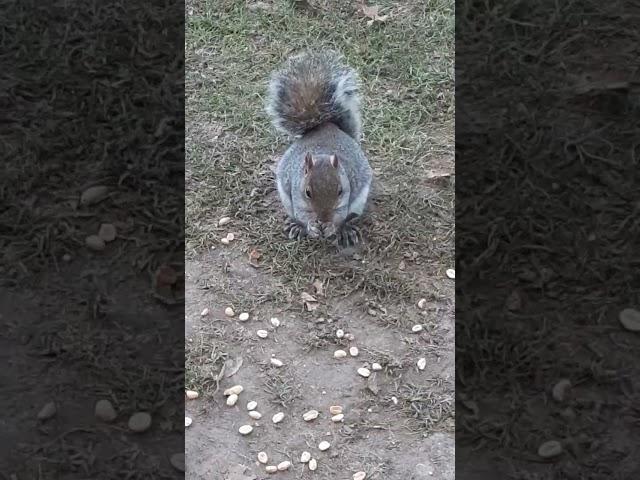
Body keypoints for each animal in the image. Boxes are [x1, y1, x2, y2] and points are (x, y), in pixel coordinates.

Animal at [266, 50, 376, 248]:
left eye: (340, 191)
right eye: (307, 192)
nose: (324, 218)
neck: (322, 156)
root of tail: (325, 126)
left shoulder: (345, 198)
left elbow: (340, 215)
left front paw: (332, 227)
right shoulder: (296, 194)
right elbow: (303, 214)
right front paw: (311, 227)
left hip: (358, 201)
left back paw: (345, 230)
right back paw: (297, 226)